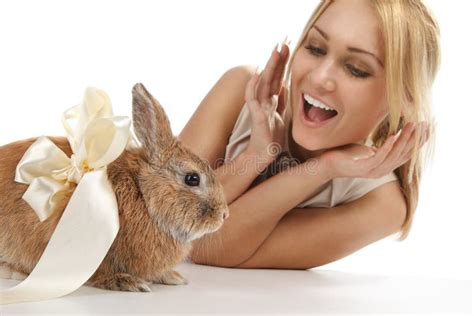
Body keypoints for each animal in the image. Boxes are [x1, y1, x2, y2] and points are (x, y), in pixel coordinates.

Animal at [0, 82, 230, 292]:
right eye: (192, 178)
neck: (143, 193)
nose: (224, 215)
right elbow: (100, 274)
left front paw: (172, 277)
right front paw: (127, 282)